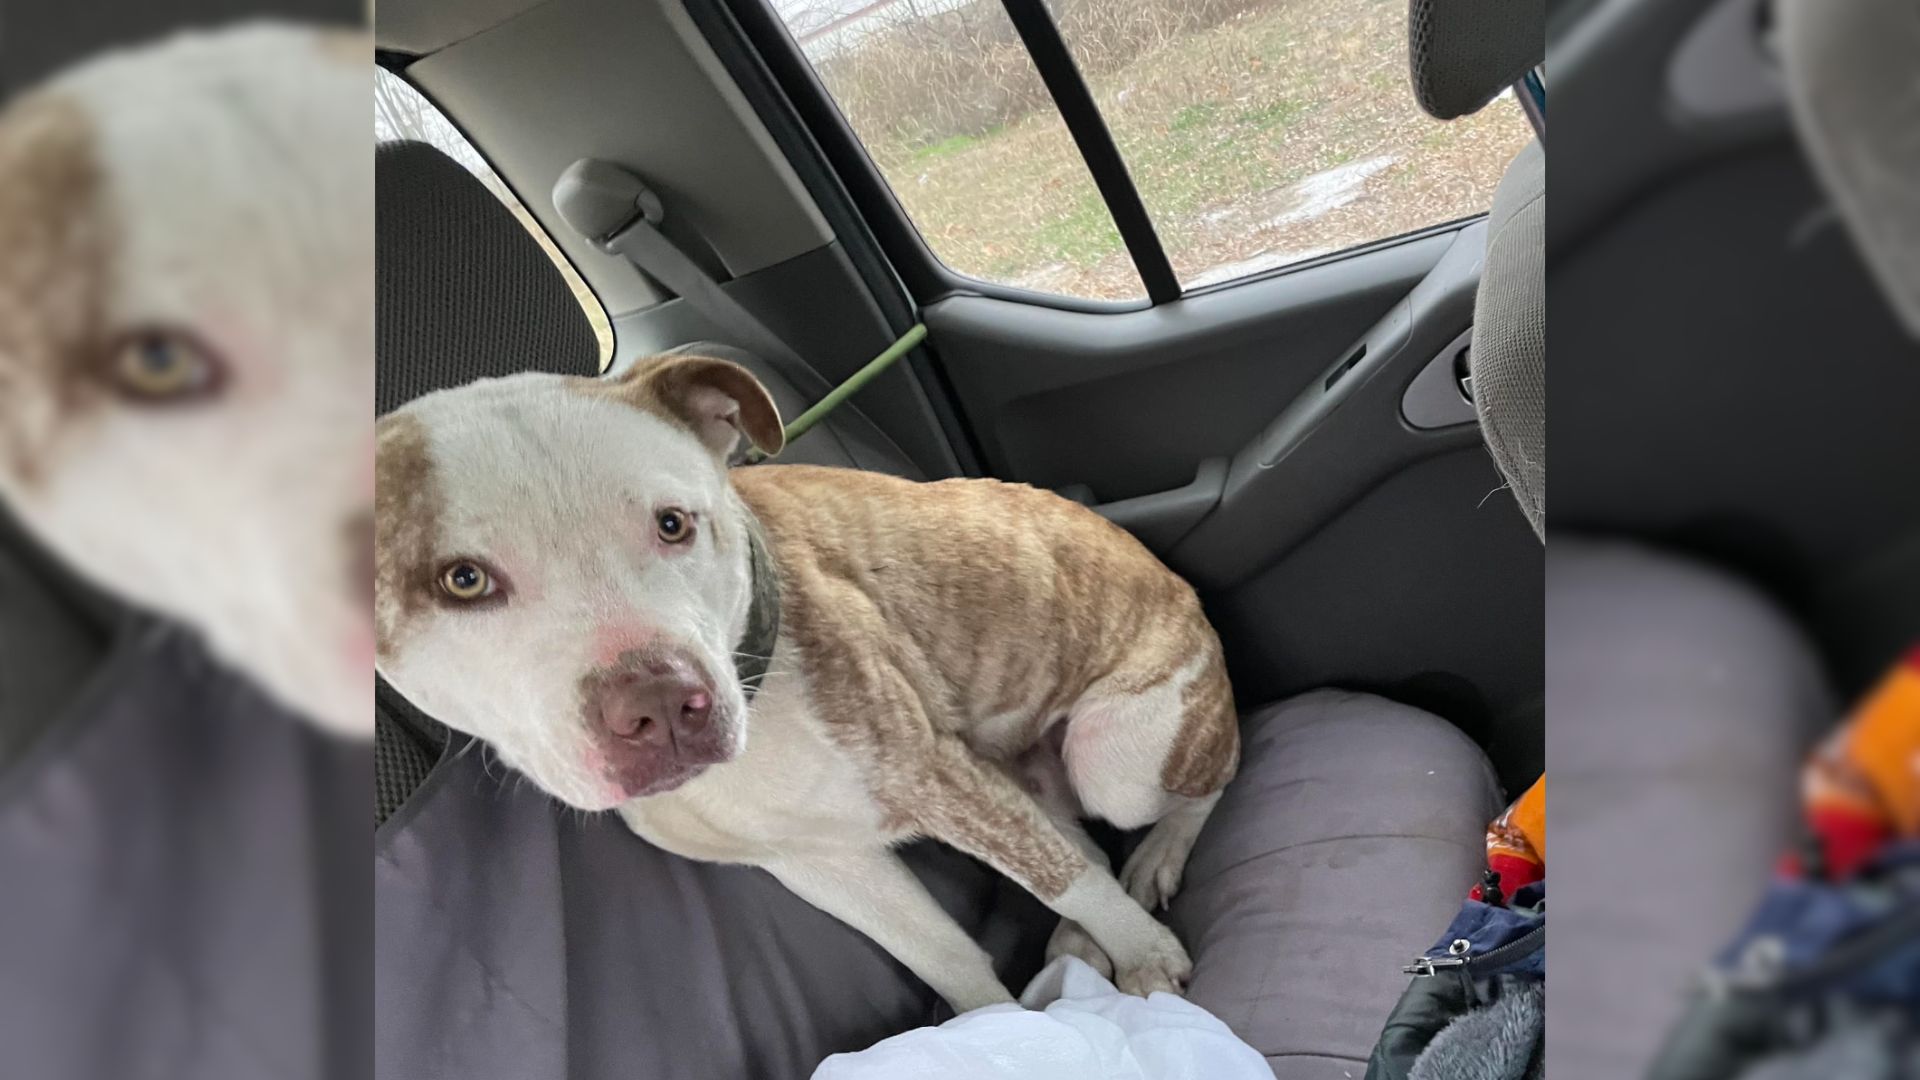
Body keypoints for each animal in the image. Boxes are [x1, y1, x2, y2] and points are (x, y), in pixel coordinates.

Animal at [374, 355, 1244, 1006]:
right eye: (461, 581)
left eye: (674, 523)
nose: (661, 705)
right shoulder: (814, 860)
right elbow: (941, 952)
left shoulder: (931, 774)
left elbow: (1062, 878)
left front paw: (1146, 953)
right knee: (1081, 840)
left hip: (1116, 760)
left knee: (1196, 785)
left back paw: (1155, 859)